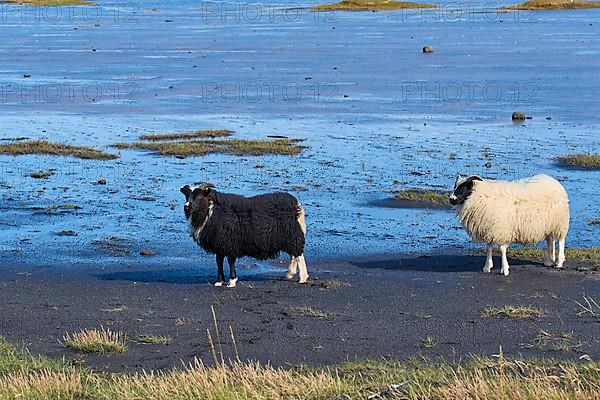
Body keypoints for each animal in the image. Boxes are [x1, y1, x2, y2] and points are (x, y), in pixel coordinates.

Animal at [180, 183, 308, 286]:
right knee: (293, 256)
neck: (210, 211)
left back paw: (302, 278)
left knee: (299, 255)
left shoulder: (229, 243)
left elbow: (230, 261)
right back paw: (290, 274)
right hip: (288, 237)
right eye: (187, 196)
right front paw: (219, 281)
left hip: (293, 235)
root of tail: (296, 204)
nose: (186, 207)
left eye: (199, 196)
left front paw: (231, 281)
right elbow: (219, 261)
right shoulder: (219, 244)